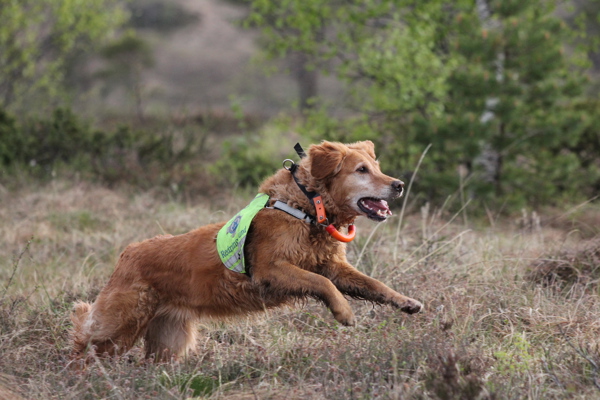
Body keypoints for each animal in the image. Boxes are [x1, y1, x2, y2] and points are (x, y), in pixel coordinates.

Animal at [70, 140, 424, 362]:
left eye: (377, 166)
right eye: (361, 170)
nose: (399, 185)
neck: (306, 208)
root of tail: (127, 253)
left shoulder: (332, 266)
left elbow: (373, 284)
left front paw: (405, 302)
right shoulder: (271, 270)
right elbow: (323, 284)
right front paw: (344, 311)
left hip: (168, 343)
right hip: (120, 326)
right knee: (83, 341)